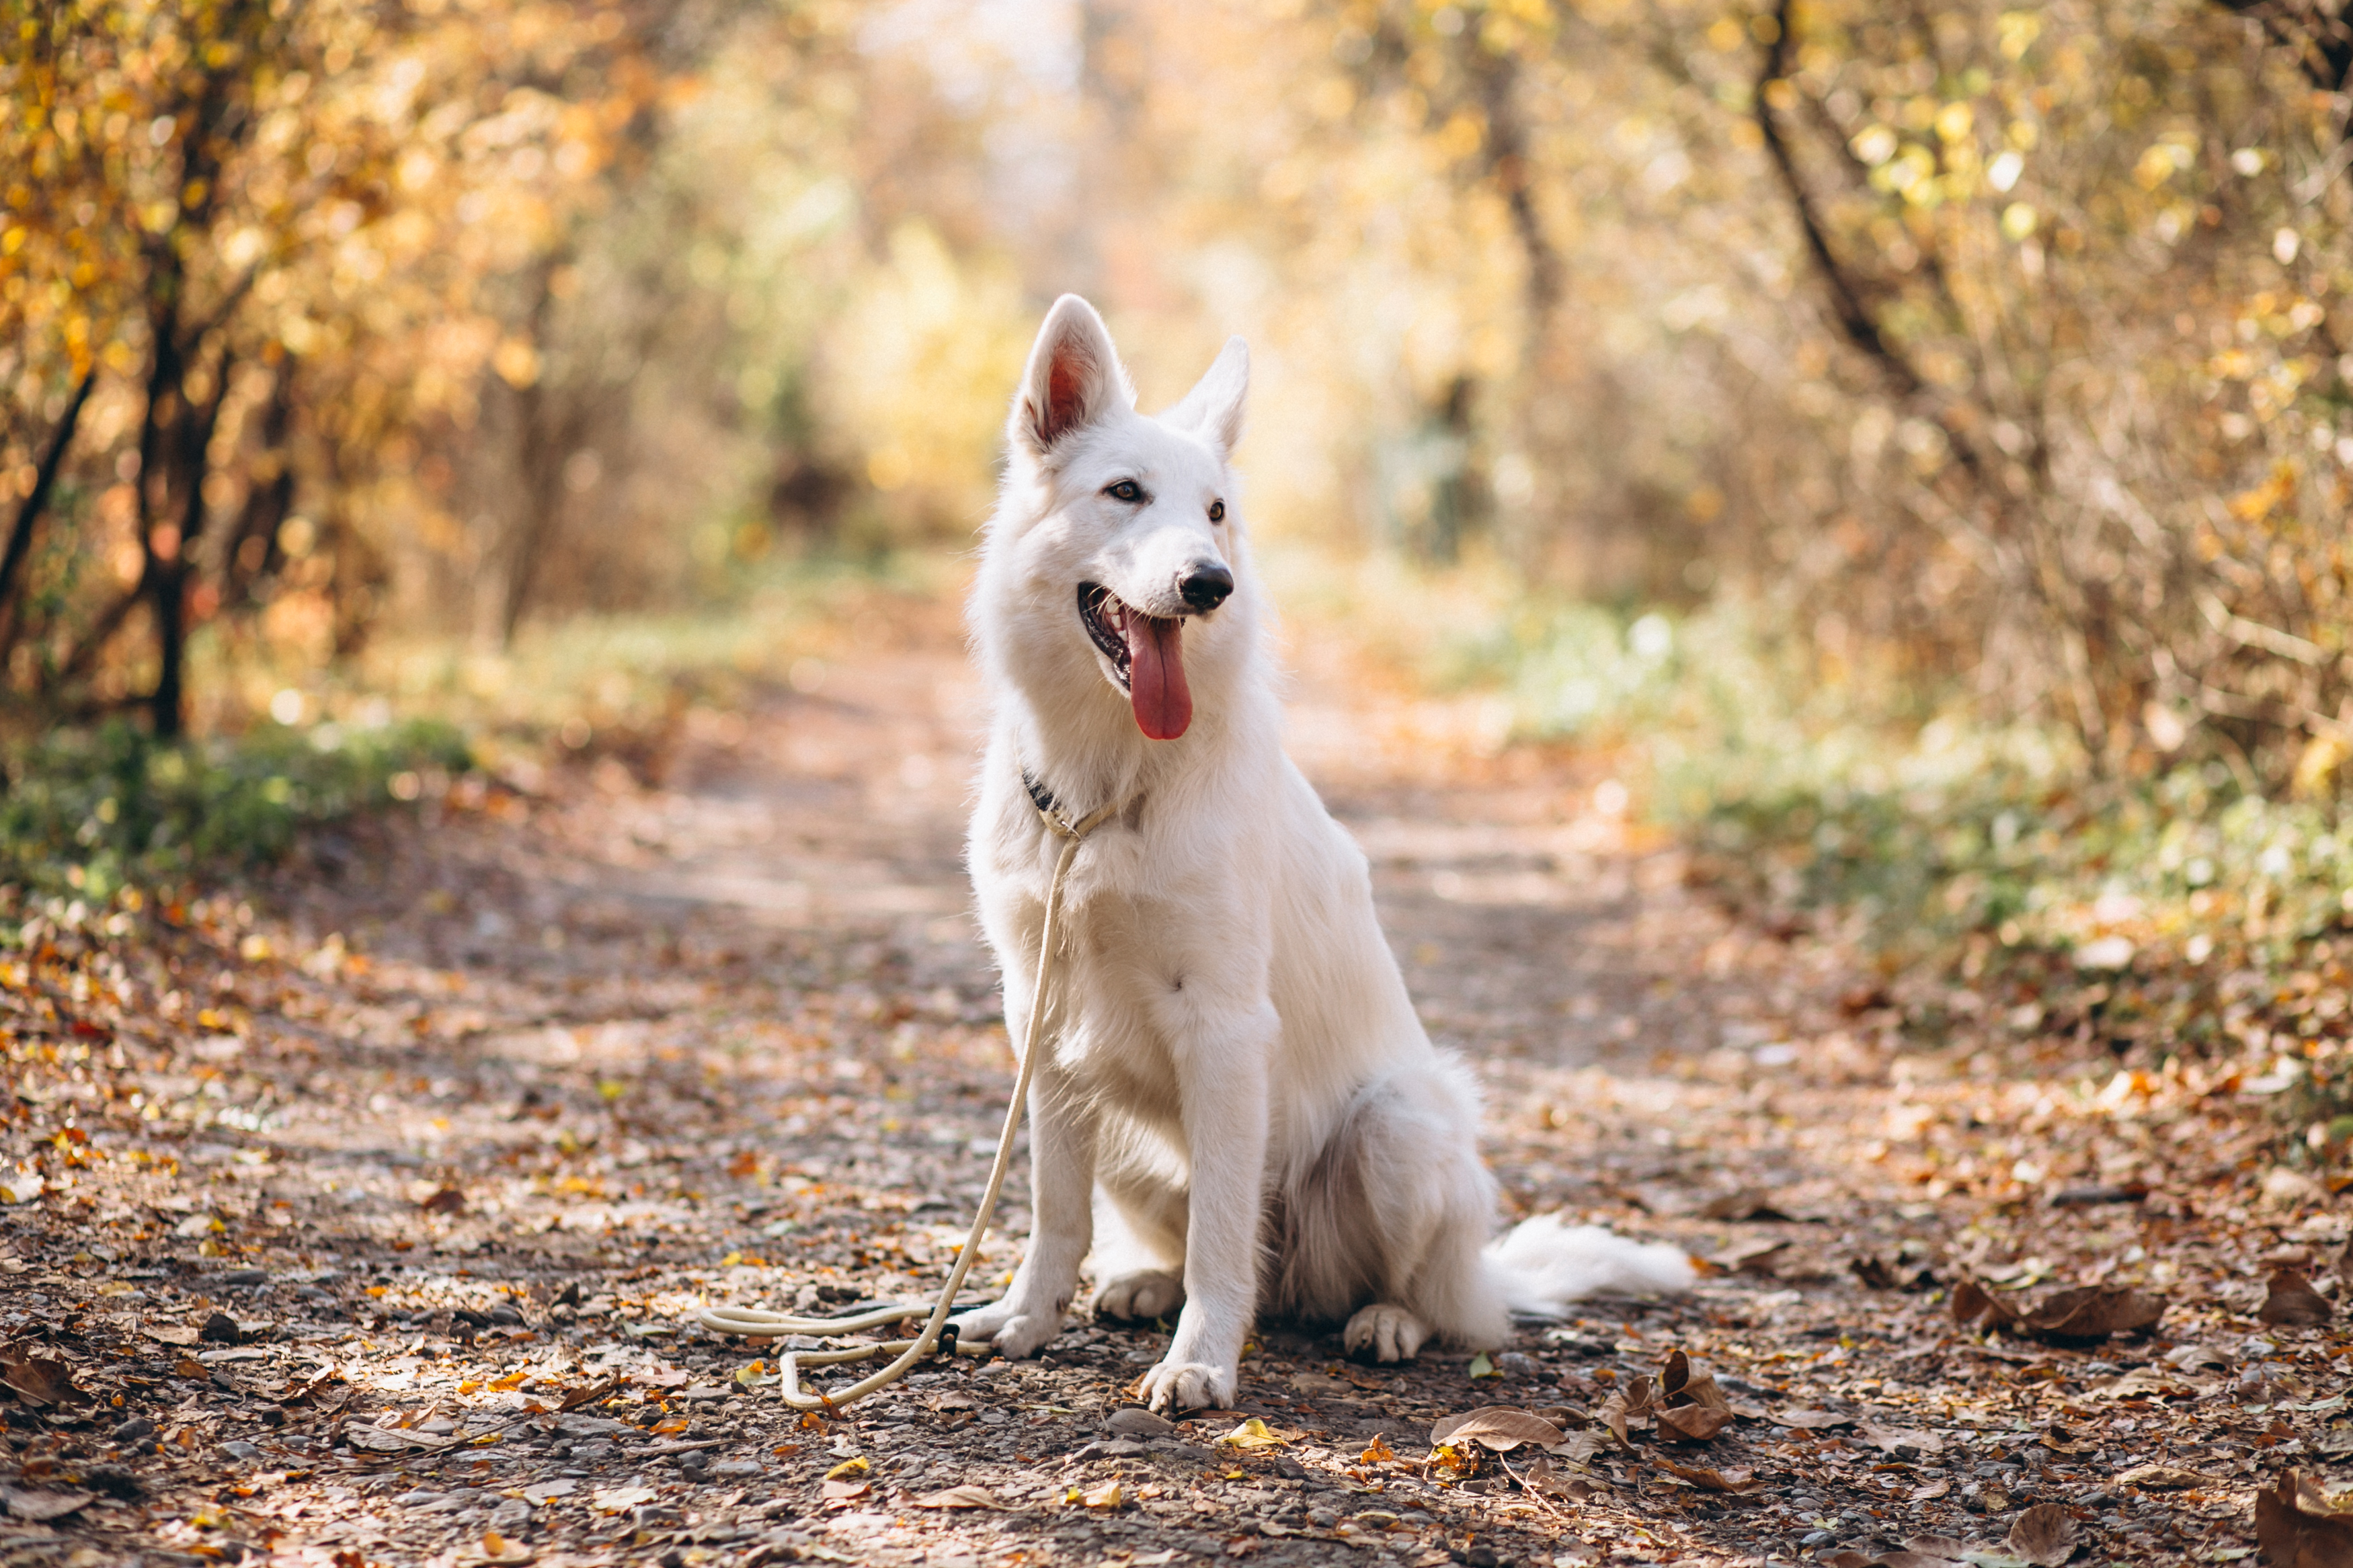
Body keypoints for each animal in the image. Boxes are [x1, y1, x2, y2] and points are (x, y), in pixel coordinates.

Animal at [955, 291, 1694, 1410]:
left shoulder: (1223, 1028)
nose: (1209, 584)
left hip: (1397, 1126)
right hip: (1132, 1127)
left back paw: (1385, 1318)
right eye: (1125, 492)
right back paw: (1145, 1282)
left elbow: (1222, 1239)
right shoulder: (1042, 1021)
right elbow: (1056, 1212)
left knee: (1427, 1302)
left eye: (1217, 512)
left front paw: (1201, 1360)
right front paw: (1028, 1317)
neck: (1108, 791)